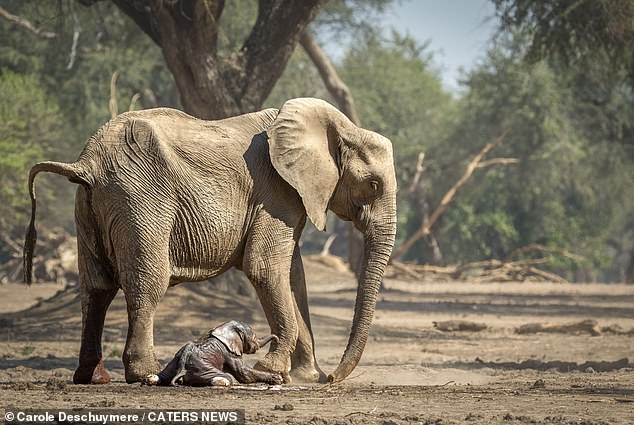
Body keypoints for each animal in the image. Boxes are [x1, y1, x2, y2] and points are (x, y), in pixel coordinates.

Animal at [144, 320, 282, 386]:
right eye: (253, 337)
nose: (277, 339)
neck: (224, 328)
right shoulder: (229, 353)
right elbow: (244, 375)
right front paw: (277, 379)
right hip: (202, 367)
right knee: (226, 378)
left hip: (174, 362)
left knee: (160, 376)